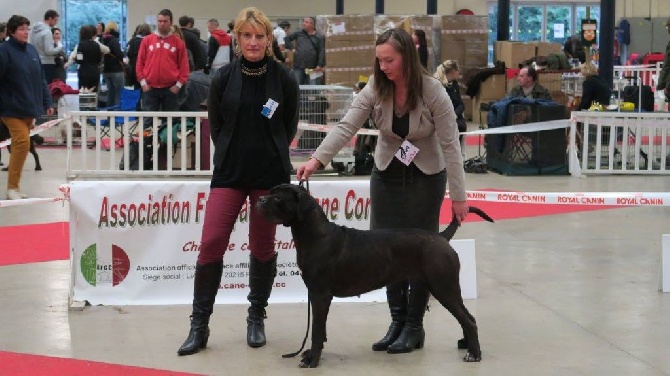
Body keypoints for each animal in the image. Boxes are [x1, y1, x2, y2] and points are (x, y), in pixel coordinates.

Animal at [258, 184, 494, 368]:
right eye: (270, 192)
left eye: (278, 198)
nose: (260, 199)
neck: (314, 234)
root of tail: (441, 237)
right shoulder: (317, 295)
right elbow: (321, 329)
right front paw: (311, 354)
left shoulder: (320, 295)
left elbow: (316, 330)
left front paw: (312, 360)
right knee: (466, 318)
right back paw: (467, 346)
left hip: (444, 287)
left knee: (469, 319)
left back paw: (474, 354)